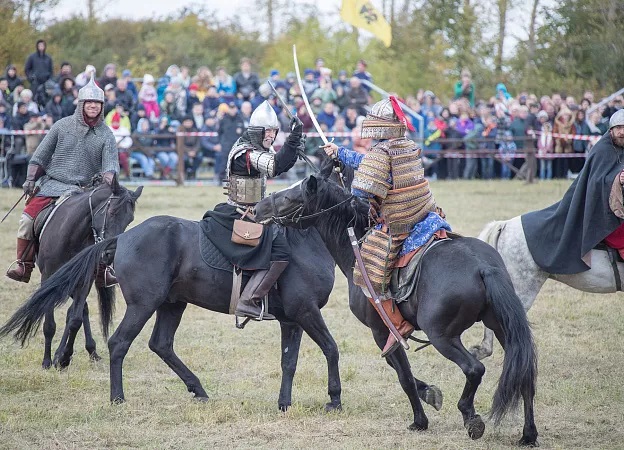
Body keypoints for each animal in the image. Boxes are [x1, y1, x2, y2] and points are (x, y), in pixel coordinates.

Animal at [3, 174, 141, 368]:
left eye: (130, 220)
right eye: (112, 212)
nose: (111, 252)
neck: (72, 233)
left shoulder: (83, 280)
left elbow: (75, 319)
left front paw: (64, 357)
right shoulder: (48, 277)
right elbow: (50, 324)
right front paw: (47, 360)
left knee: (79, 311)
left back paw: (86, 351)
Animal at [251, 174, 540, 444]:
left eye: (290, 197)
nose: (257, 209)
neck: (357, 245)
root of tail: (483, 267)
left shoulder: (382, 332)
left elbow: (405, 376)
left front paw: (420, 421)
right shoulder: (388, 336)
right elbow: (401, 370)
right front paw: (428, 396)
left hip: (442, 336)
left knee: (474, 369)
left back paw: (471, 418)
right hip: (502, 327)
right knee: (524, 375)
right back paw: (528, 434)